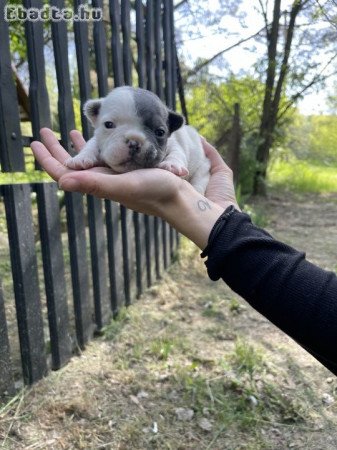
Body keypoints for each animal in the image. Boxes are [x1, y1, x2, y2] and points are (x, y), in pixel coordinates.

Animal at [64, 86, 209, 193]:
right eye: (108, 124)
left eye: (160, 132)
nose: (134, 142)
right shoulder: (96, 139)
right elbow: (90, 145)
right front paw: (80, 158)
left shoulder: (174, 144)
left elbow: (177, 153)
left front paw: (172, 164)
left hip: (204, 167)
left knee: (200, 179)